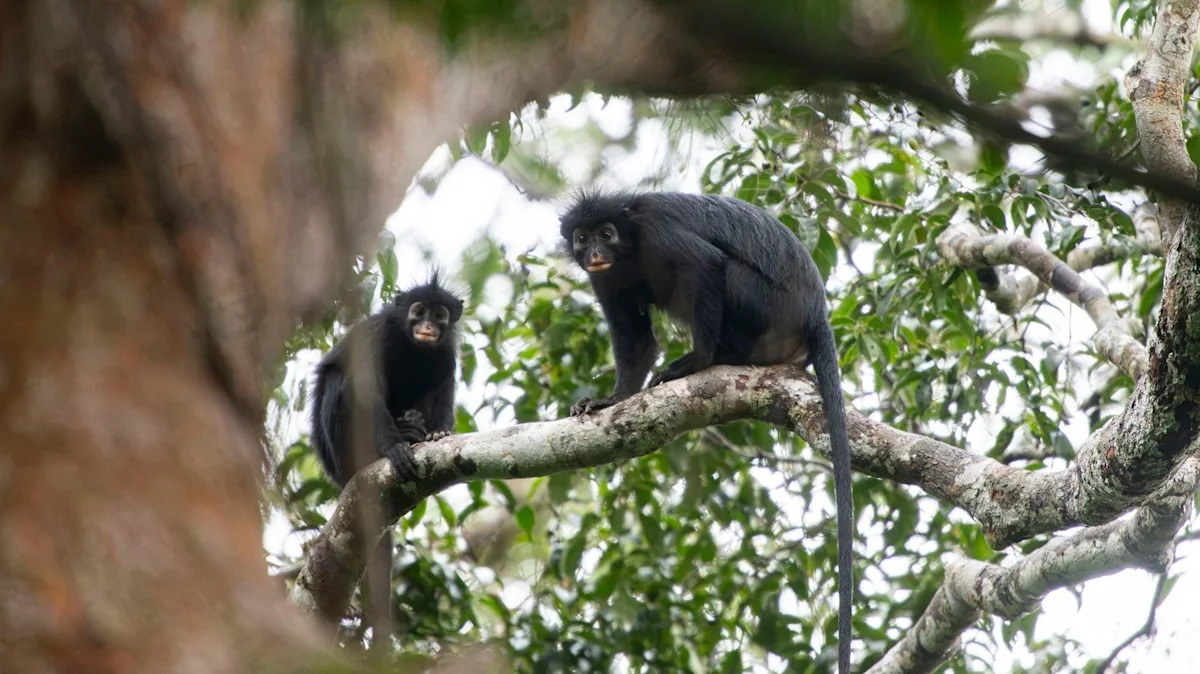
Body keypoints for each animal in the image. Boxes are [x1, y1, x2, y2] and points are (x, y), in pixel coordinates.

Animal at [310, 272, 463, 650]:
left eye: (439, 315)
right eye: (418, 311)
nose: (427, 326)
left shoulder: (446, 349)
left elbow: (445, 377)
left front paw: (438, 433)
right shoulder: (376, 335)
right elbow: (365, 387)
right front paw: (393, 448)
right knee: (340, 379)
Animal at [560, 191, 854, 673]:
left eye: (606, 233)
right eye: (583, 239)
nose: (596, 252)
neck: (631, 245)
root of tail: (816, 312)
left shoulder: (658, 232)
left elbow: (706, 265)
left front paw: (697, 361)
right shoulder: (605, 280)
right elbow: (636, 341)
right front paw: (611, 400)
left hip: (768, 307)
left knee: (726, 271)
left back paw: (719, 357)